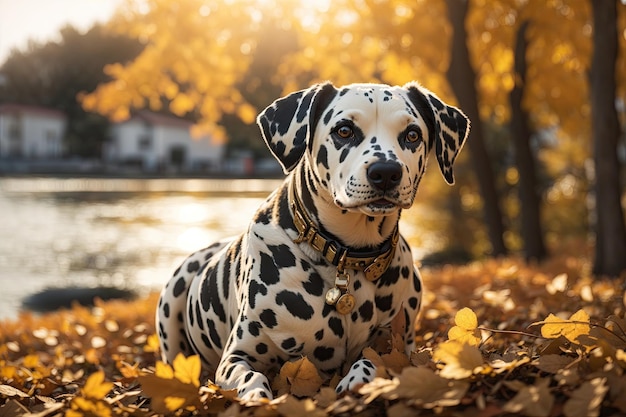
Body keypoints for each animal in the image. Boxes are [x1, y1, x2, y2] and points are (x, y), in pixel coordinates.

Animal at [156, 81, 468, 400]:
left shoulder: (398, 346)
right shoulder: (237, 356)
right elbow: (252, 379)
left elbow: (373, 361)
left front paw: (357, 380)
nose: (385, 173)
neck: (347, 257)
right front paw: (256, 397)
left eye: (412, 134)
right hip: (172, 301)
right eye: (344, 130)